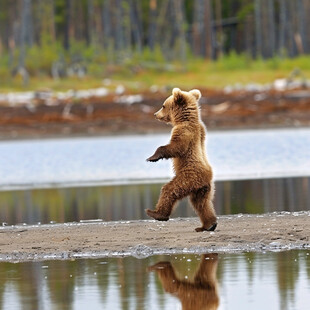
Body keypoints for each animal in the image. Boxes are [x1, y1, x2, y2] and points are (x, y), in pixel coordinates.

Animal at [146, 86, 217, 231]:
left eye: (163, 105)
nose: (155, 114)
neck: (184, 119)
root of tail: (207, 175)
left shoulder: (184, 130)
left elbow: (176, 146)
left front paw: (152, 157)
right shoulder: (202, 129)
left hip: (189, 177)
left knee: (170, 190)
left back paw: (156, 213)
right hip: (202, 187)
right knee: (201, 203)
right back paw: (209, 225)